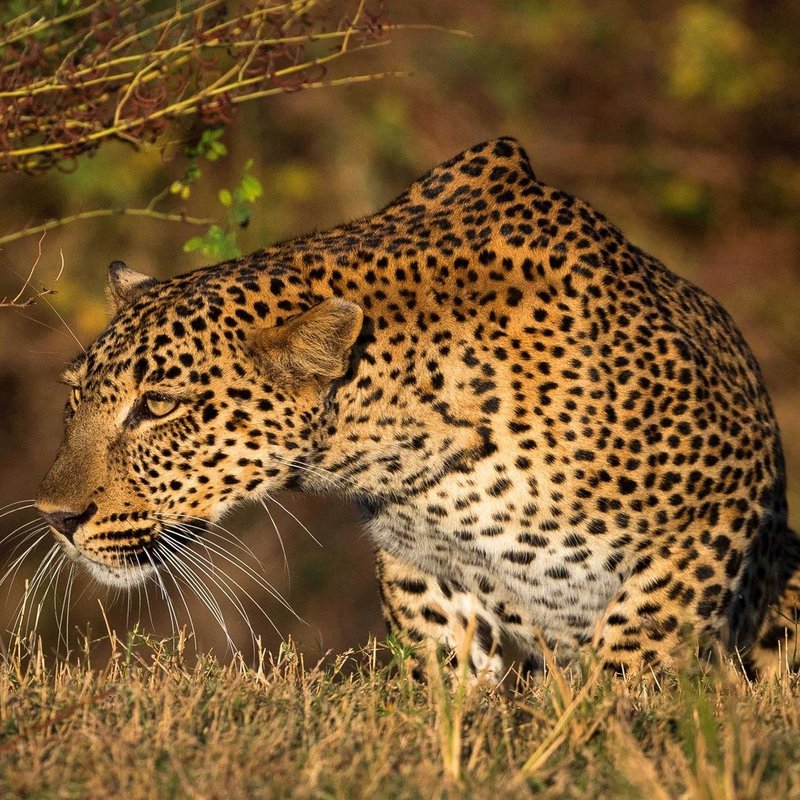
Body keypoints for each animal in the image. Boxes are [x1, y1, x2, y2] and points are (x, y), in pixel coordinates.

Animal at [35, 136, 799, 679]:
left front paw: (610, 737)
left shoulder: (717, 511)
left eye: (158, 406)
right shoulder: (424, 568)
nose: (56, 519)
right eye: (74, 395)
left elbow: (637, 649)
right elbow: (446, 675)